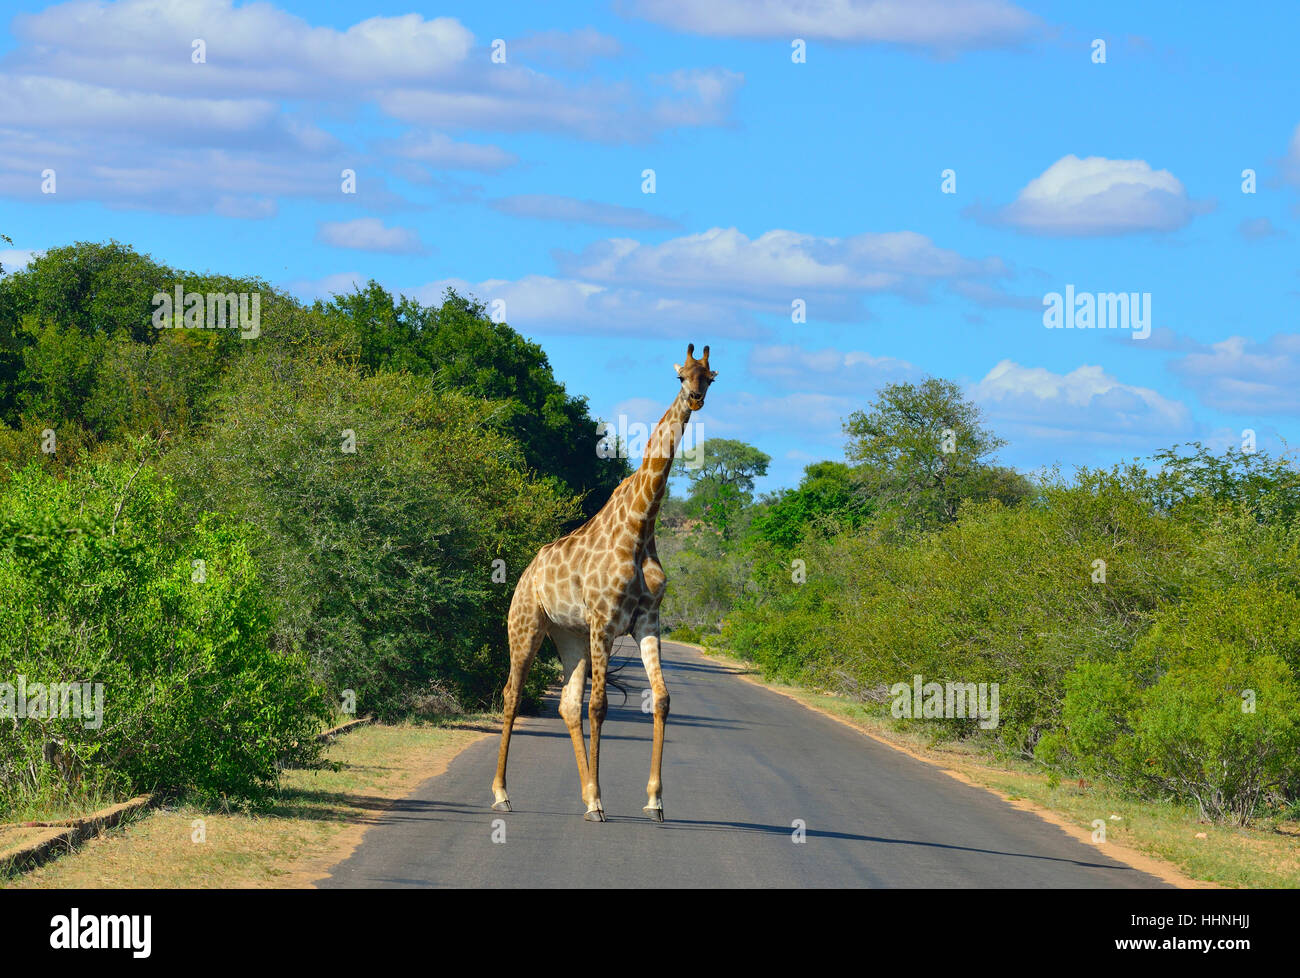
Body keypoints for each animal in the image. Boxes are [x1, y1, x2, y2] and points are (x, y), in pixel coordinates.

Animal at [491, 343, 718, 822]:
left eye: (710, 377)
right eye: (681, 376)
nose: (694, 399)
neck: (641, 524)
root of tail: (526, 572)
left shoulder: (646, 620)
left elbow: (662, 698)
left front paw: (654, 800)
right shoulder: (605, 620)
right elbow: (600, 706)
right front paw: (599, 799)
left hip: (569, 634)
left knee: (566, 703)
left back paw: (581, 793)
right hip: (527, 625)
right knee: (512, 694)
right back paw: (503, 793)